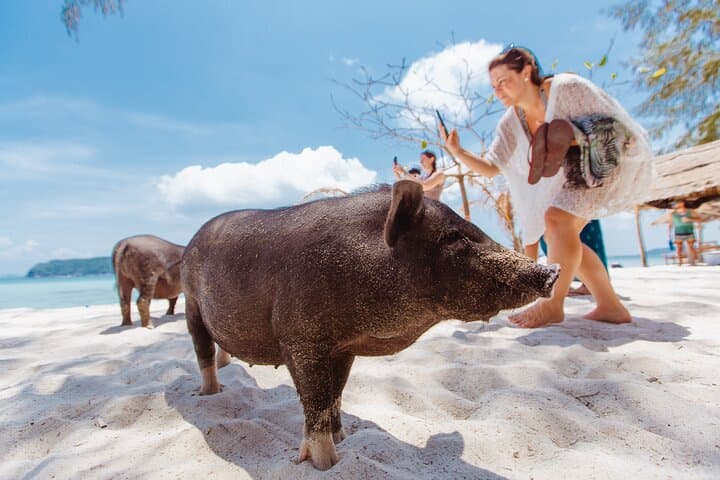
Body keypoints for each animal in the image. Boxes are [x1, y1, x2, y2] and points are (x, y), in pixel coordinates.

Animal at [181, 181, 559, 470]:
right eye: (453, 237)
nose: (552, 271)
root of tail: (191, 240)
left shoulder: (343, 348)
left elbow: (335, 394)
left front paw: (344, 437)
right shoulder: (300, 339)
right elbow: (315, 400)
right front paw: (325, 464)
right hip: (191, 302)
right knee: (202, 350)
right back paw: (207, 394)